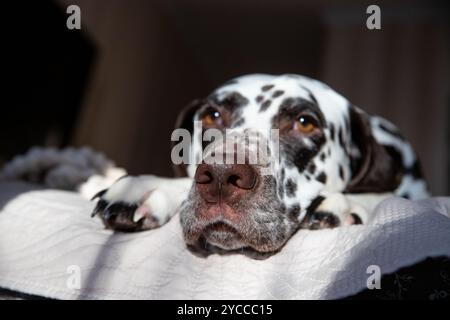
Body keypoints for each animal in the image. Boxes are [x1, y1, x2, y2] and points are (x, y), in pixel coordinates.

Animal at [91, 74, 428, 254]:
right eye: (212, 115)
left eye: (305, 122)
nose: (221, 176)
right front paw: (145, 187)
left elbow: (388, 194)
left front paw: (345, 202)